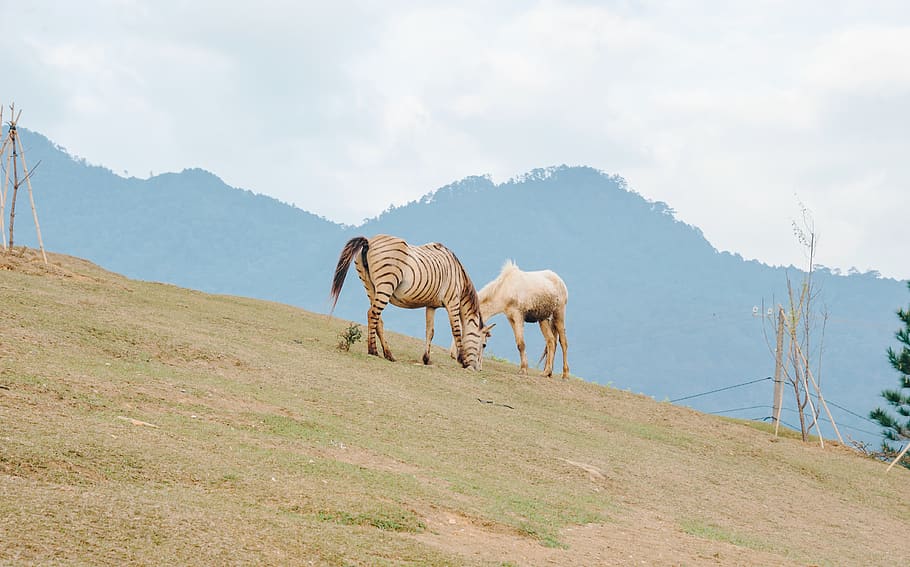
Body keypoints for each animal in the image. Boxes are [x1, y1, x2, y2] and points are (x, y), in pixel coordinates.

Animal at [330, 234, 494, 370]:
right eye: (484, 345)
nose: (478, 369)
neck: (458, 276)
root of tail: (369, 241)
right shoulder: (452, 302)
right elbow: (457, 331)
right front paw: (462, 361)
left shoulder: (431, 305)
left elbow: (430, 332)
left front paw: (426, 359)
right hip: (386, 284)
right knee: (373, 314)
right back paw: (373, 350)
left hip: (370, 286)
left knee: (378, 319)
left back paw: (388, 354)